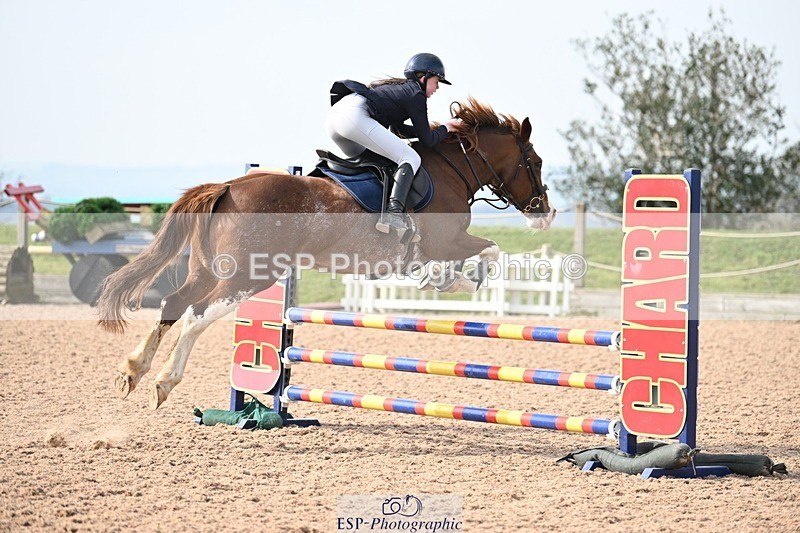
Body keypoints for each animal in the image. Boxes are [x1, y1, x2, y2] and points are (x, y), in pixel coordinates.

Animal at [97, 98, 555, 409]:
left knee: (174, 304)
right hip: (248, 276)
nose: (545, 214)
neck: (452, 169)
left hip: (209, 269)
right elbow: (491, 250)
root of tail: (227, 187)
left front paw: (442, 279)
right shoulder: (444, 241)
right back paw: (163, 382)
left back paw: (132, 371)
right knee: (196, 315)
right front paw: (457, 280)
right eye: (535, 161)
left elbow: (478, 254)